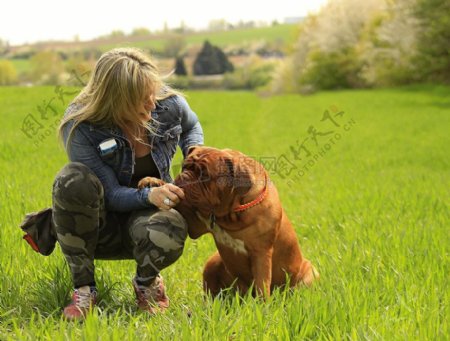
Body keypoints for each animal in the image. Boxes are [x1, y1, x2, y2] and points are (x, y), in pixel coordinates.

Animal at [139, 146, 318, 298]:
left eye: (205, 175)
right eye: (184, 167)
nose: (183, 177)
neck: (233, 213)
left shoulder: (261, 254)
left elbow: (262, 284)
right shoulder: (194, 223)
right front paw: (153, 182)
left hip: (310, 272)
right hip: (212, 263)